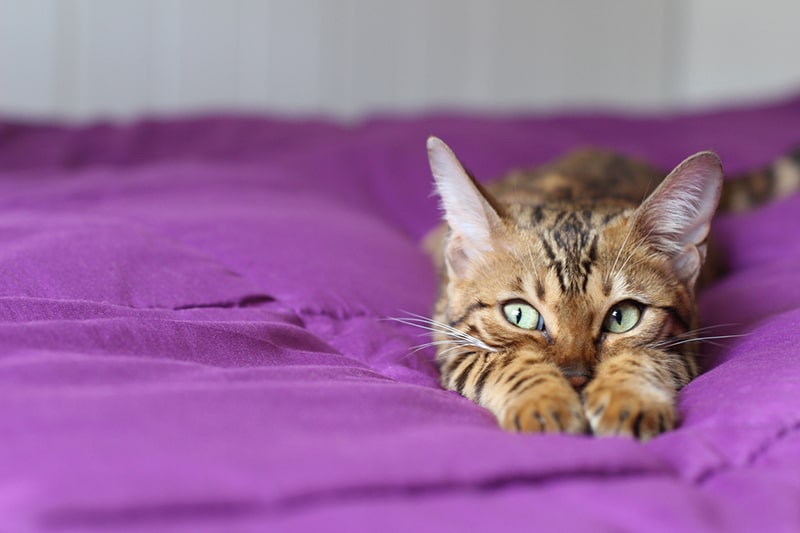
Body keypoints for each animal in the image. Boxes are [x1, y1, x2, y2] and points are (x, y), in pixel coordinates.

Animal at [422, 135, 796, 438]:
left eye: (622, 317)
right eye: (519, 315)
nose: (574, 377)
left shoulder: (685, 346)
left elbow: (645, 357)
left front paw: (627, 399)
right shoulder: (451, 343)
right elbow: (501, 362)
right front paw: (544, 401)